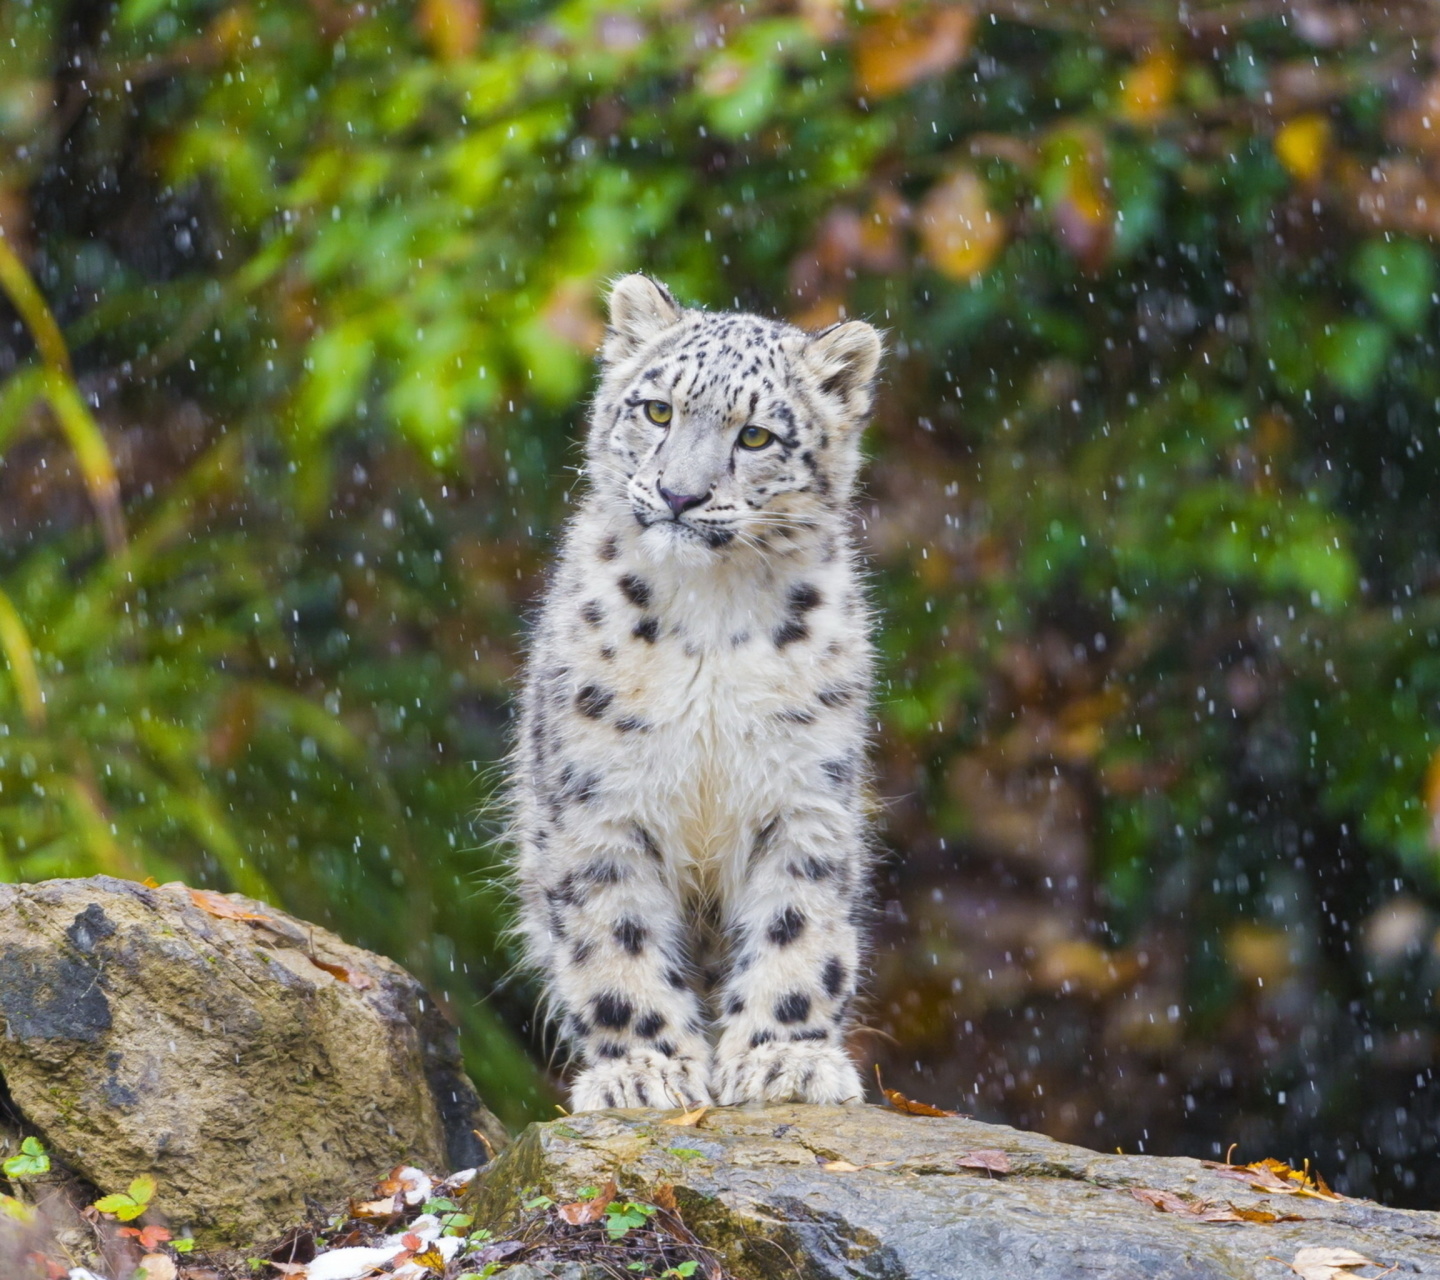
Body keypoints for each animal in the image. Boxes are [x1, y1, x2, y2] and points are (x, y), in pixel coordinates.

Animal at [512, 272, 881, 1111]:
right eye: (658, 410)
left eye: (757, 437)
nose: (679, 495)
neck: (712, 616)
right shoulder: (600, 802)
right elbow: (613, 937)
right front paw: (643, 1069)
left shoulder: (804, 796)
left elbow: (797, 925)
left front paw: (786, 1058)